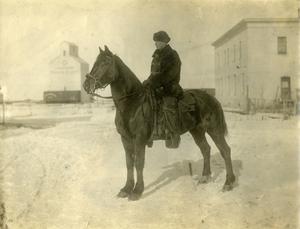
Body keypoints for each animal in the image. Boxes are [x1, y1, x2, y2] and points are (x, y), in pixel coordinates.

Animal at [83, 45, 236, 200]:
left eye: (105, 63)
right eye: (95, 62)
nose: (86, 85)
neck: (133, 103)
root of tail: (212, 98)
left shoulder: (139, 139)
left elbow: (139, 163)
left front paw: (137, 191)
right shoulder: (125, 139)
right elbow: (129, 163)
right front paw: (126, 189)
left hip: (214, 130)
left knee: (225, 151)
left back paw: (228, 183)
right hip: (197, 131)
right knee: (206, 149)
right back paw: (205, 177)